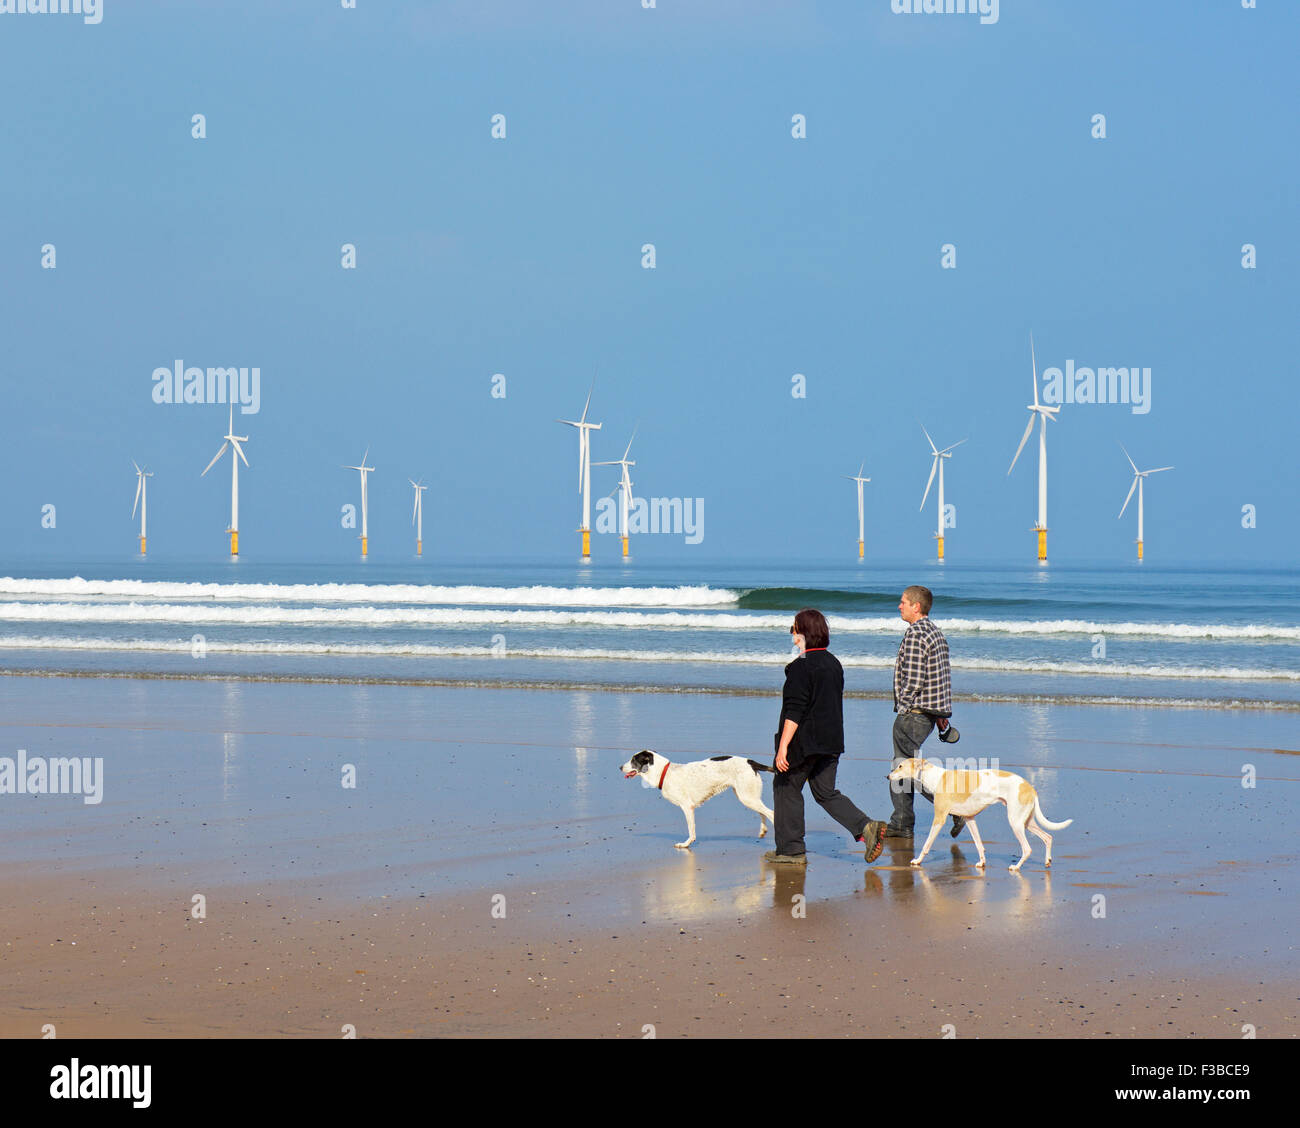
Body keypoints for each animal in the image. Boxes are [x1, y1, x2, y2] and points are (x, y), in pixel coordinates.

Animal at [618, 748, 769, 847]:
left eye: (633, 760)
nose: (619, 767)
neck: (664, 773)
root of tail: (750, 762)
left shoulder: (687, 807)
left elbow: (691, 830)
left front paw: (686, 844)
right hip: (748, 797)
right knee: (763, 812)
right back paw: (763, 831)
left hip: (747, 797)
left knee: (770, 813)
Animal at [883, 758, 1076, 873]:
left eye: (900, 766)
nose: (887, 776)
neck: (935, 777)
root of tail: (1030, 787)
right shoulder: (969, 819)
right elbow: (978, 844)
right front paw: (982, 863)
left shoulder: (939, 818)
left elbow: (927, 844)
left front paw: (917, 860)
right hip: (1026, 822)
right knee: (1048, 836)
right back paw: (1047, 861)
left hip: (1015, 822)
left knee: (1027, 848)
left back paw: (1016, 867)